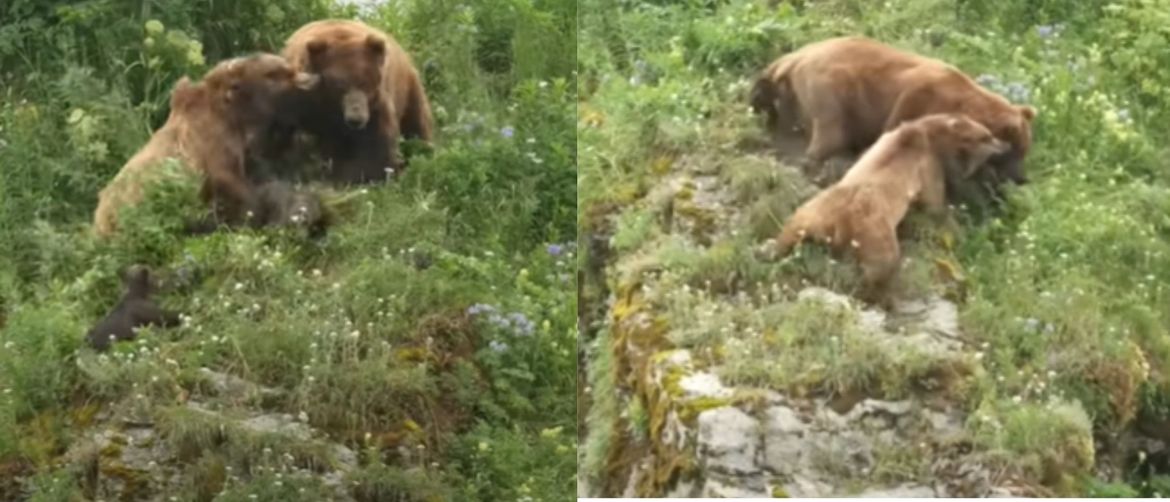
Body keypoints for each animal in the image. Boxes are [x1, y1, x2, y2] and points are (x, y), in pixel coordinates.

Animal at [748, 34, 1034, 187]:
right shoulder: (917, 99)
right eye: (1015, 151)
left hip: (791, 93)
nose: (1021, 178)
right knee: (831, 133)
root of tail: (794, 59)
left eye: (1024, 150)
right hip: (832, 91)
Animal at [762, 113, 1010, 306]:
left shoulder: (887, 139)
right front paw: (953, 222)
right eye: (986, 135)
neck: (928, 133)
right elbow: (934, 201)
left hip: (812, 212)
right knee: (882, 265)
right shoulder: (927, 165)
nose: (1004, 146)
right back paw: (880, 295)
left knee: (791, 228)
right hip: (875, 232)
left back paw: (770, 248)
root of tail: (841, 223)